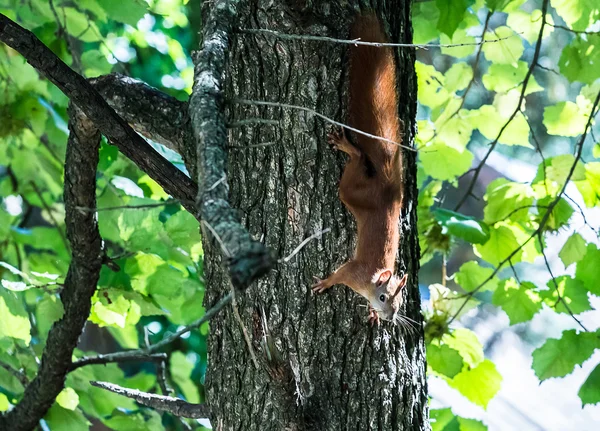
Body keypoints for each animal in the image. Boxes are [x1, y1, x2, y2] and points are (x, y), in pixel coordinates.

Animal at [310, 12, 408, 324]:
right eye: (384, 297)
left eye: (400, 303)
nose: (390, 317)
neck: (371, 280)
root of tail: (390, 190)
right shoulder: (353, 272)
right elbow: (338, 273)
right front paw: (325, 283)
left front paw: (372, 315)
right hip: (352, 191)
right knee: (357, 159)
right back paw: (346, 146)